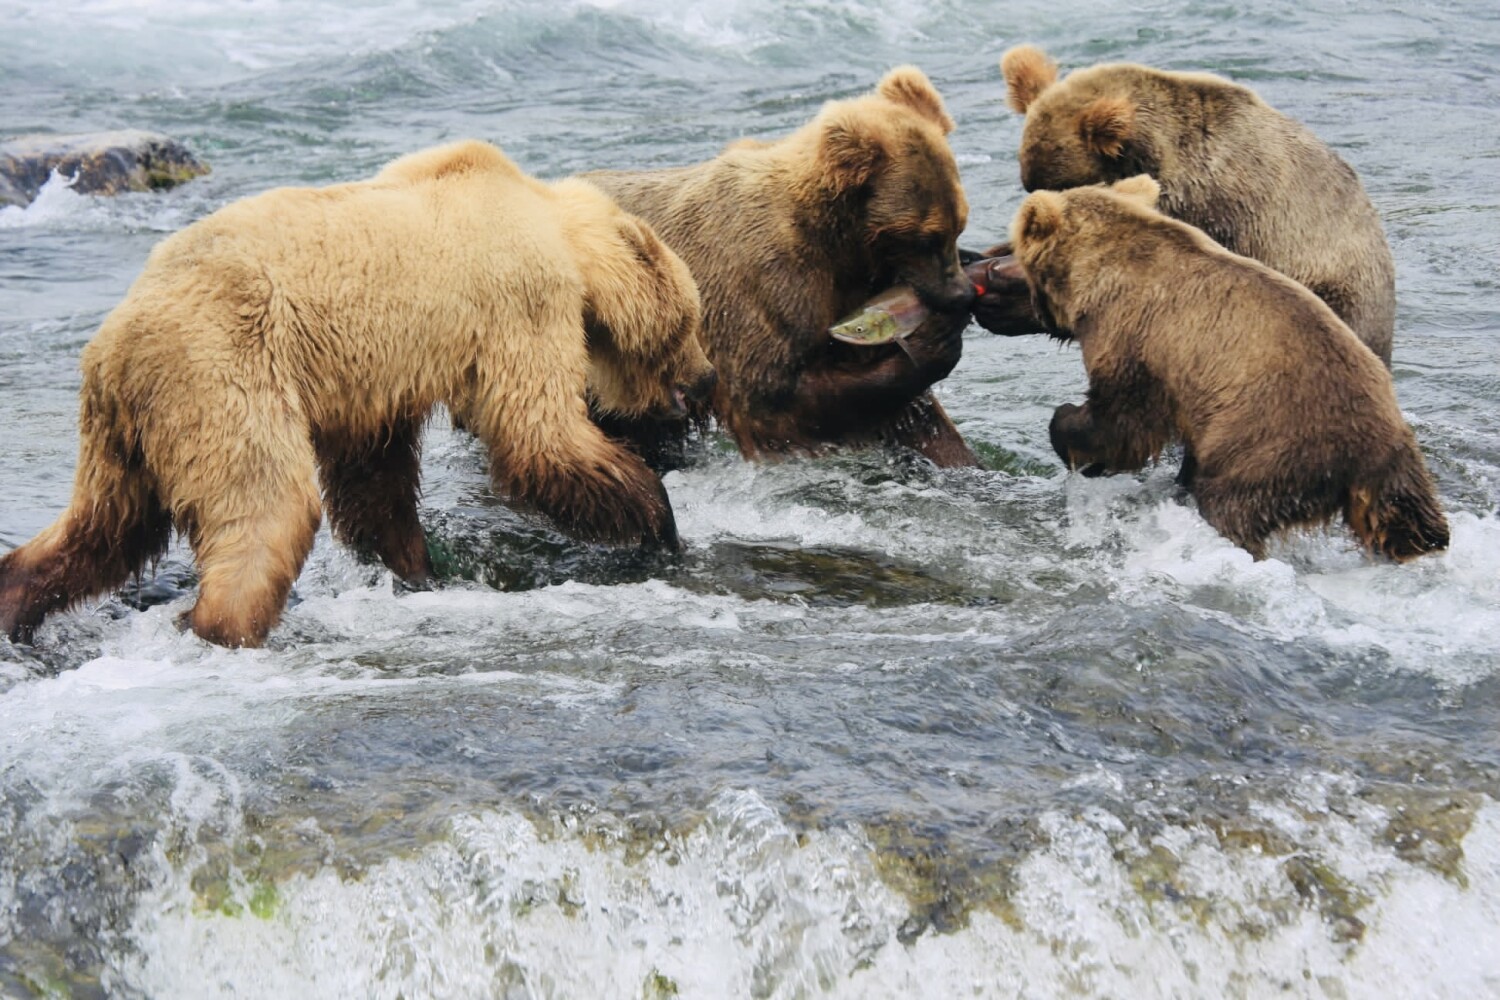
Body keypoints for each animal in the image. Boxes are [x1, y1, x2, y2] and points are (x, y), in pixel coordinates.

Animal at [0, 139, 717, 648]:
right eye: (693, 321)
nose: (708, 379)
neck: (551, 224)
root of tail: (110, 349)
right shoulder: (519, 302)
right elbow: (541, 438)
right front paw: (660, 520)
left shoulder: (372, 384)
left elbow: (374, 479)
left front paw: (418, 568)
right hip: (222, 371)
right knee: (267, 503)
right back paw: (222, 626)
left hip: (130, 429)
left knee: (103, 528)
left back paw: (17, 602)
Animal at [584, 65, 980, 468]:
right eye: (925, 237)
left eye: (959, 226)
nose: (961, 295)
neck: (840, 245)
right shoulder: (761, 285)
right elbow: (772, 399)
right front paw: (934, 344)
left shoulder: (847, 291)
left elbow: (917, 420)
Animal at [1010, 174, 1448, 561]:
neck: (1098, 271)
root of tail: (1368, 452)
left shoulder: (1135, 336)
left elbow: (1122, 420)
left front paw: (1067, 428)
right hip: (1400, 468)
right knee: (1411, 523)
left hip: (1271, 439)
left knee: (1231, 502)